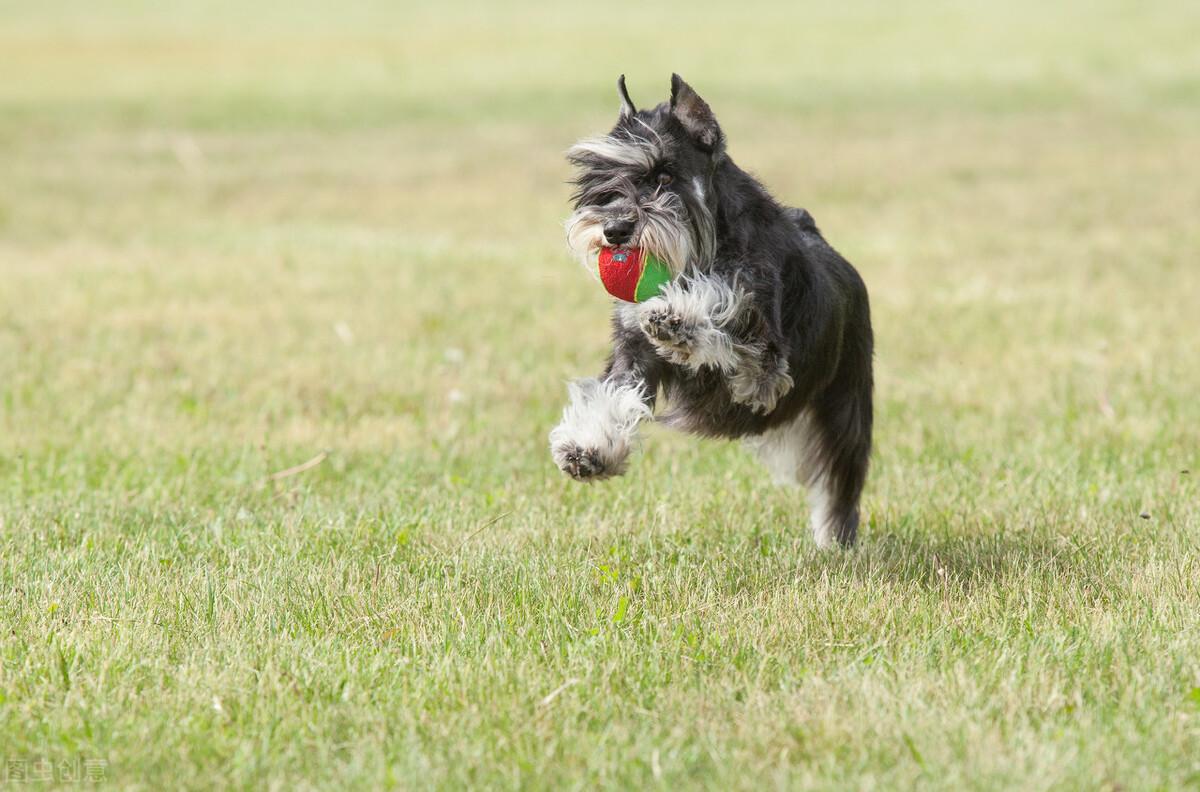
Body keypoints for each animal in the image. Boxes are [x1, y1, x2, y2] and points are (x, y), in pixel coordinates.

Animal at [547, 74, 873, 547]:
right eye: (603, 178)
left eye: (664, 175)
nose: (614, 230)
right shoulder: (633, 353)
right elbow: (612, 394)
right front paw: (587, 448)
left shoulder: (764, 366)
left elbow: (724, 299)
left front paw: (677, 316)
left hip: (847, 407)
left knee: (840, 481)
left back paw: (835, 541)